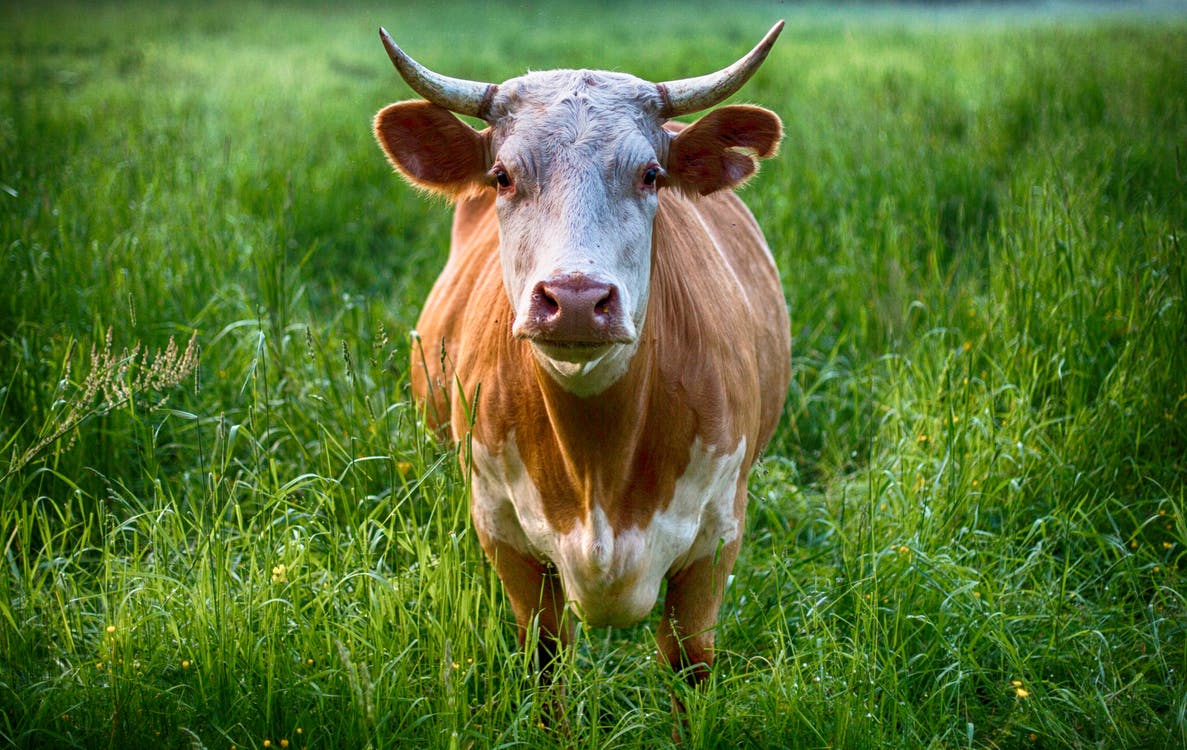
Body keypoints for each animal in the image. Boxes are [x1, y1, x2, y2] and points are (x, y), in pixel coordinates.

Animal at [373, 21, 791, 708]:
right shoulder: (503, 533)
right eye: (502, 176)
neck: (599, 461)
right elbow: (546, 664)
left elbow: (689, 668)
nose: (573, 300)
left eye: (651, 174)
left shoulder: (717, 540)